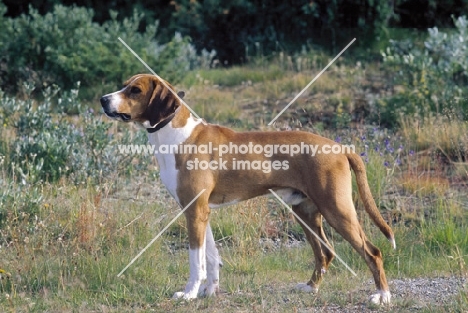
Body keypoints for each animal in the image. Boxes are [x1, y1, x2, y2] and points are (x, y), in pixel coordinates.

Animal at [99, 72, 394, 302]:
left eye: (135, 90)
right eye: (124, 85)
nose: (103, 99)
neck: (176, 134)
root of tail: (340, 147)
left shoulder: (194, 211)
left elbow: (196, 261)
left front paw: (189, 293)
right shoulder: (202, 212)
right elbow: (211, 258)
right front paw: (209, 292)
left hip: (337, 210)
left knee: (373, 252)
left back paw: (382, 296)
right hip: (306, 212)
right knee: (326, 253)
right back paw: (311, 288)